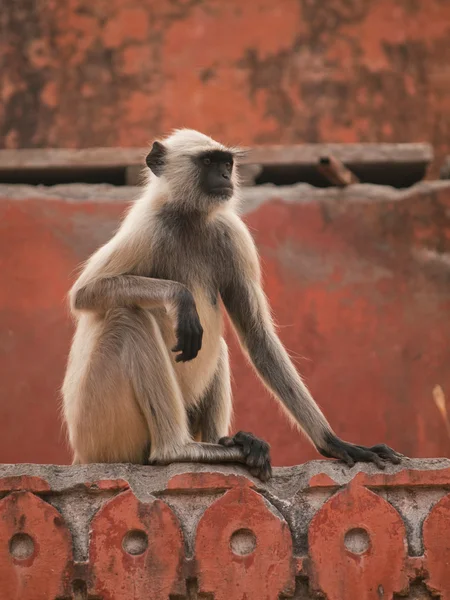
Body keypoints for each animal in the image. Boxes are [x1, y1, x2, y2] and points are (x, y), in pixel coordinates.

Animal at [61, 129, 402, 480]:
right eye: (208, 161)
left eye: (227, 163)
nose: (225, 176)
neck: (191, 218)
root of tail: (81, 454)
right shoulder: (148, 227)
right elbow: (85, 293)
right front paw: (181, 297)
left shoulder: (232, 233)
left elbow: (257, 336)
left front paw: (334, 442)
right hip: (100, 428)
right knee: (128, 315)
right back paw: (179, 449)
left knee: (214, 344)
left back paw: (227, 443)